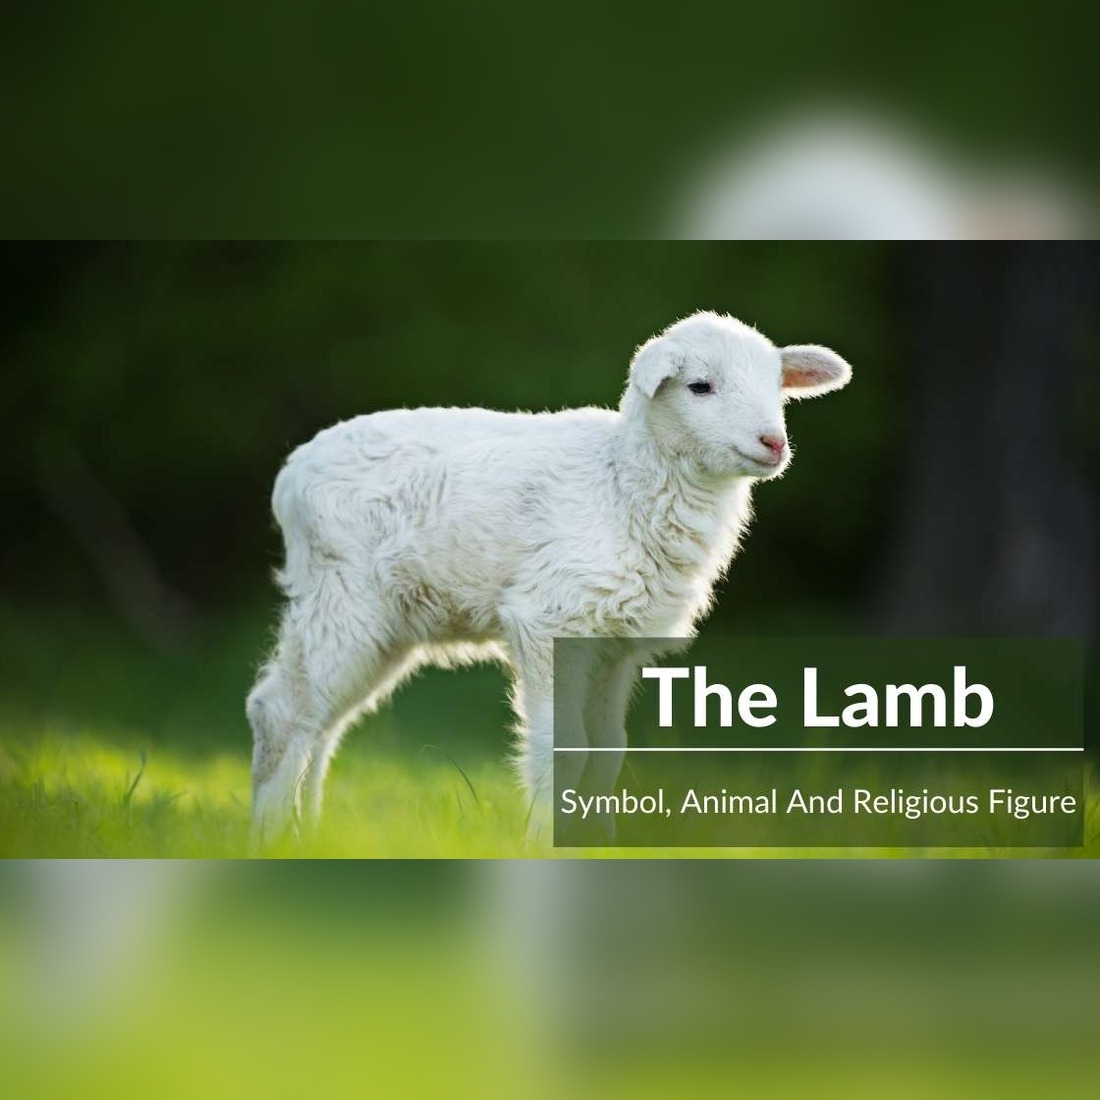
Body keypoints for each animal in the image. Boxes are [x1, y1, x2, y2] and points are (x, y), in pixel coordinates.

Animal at [246, 310, 852, 840]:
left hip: (386, 622)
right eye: (700, 387)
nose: (773, 442)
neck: (623, 481)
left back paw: (309, 833)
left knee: (322, 722)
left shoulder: (616, 645)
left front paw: (601, 844)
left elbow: (607, 750)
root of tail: (290, 476)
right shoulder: (548, 617)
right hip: (342, 593)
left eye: (777, 385)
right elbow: (564, 746)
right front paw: (544, 842)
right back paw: (271, 836)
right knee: (282, 712)